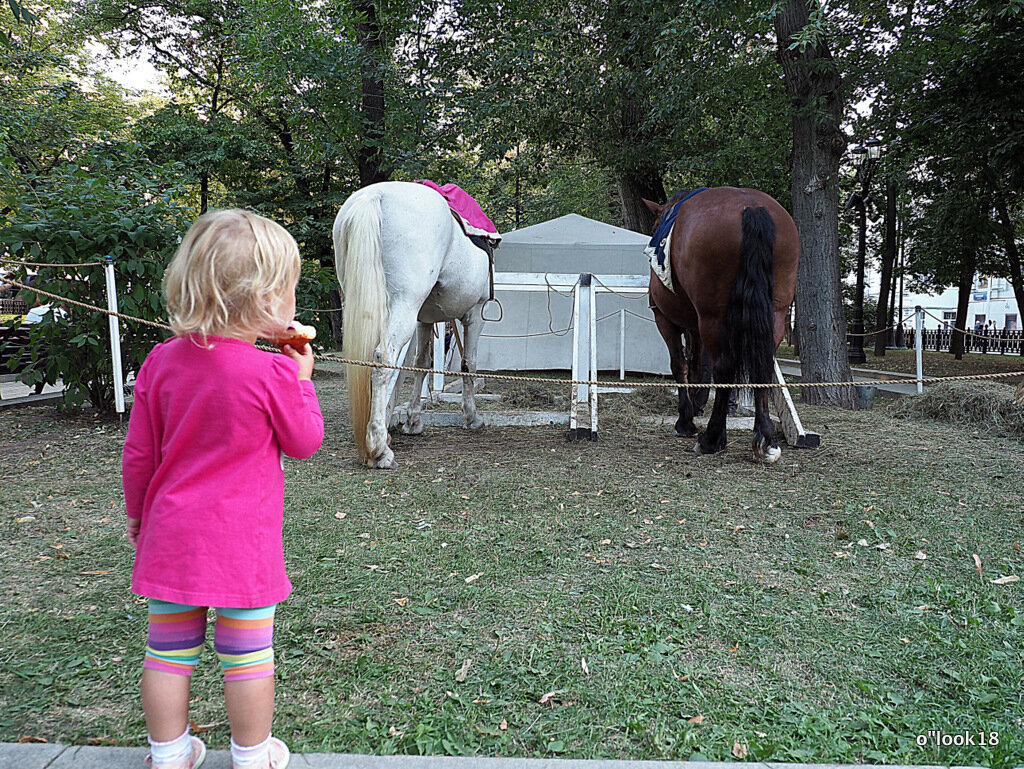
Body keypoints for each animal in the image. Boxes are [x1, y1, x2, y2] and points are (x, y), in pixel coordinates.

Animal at [333, 182, 489, 468]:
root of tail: (375, 195)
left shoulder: (423, 319)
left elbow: (421, 363)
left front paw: (413, 420)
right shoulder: (475, 314)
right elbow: (468, 364)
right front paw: (471, 417)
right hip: (405, 304)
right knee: (384, 360)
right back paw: (379, 448)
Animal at [647, 186, 798, 462]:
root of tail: (752, 206)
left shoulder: (666, 320)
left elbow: (681, 365)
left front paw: (686, 420)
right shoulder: (695, 328)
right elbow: (697, 366)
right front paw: (694, 406)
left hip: (712, 319)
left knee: (725, 368)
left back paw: (712, 437)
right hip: (774, 315)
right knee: (762, 366)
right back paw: (765, 439)